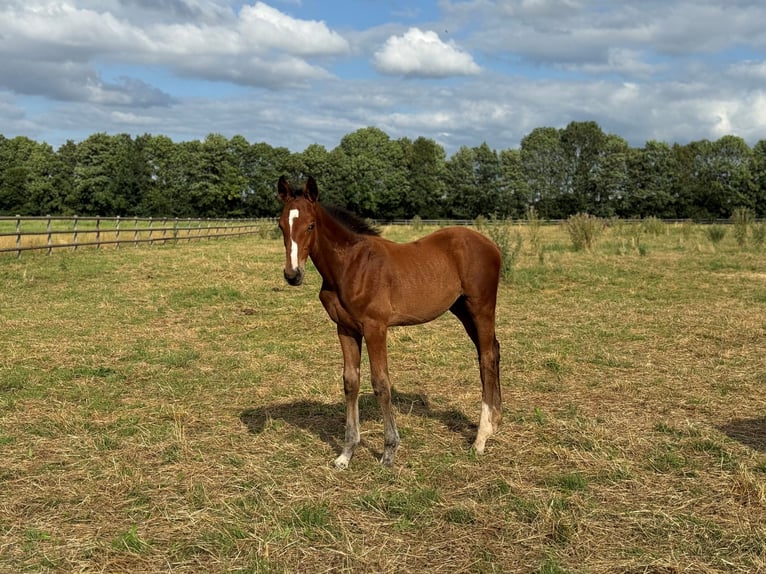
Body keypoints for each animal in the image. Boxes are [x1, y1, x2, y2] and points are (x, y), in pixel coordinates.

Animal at [278, 174, 504, 468]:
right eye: (281, 225)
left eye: (310, 225)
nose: (293, 275)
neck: (350, 266)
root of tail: (491, 245)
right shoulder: (345, 329)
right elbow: (350, 382)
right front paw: (346, 453)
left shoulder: (375, 327)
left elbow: (381, 383)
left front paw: (389, 451)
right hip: (462, 309)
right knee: (491, 351)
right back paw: (495, 422)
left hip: (481, 307)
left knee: (487, 356)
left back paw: (480, 439)